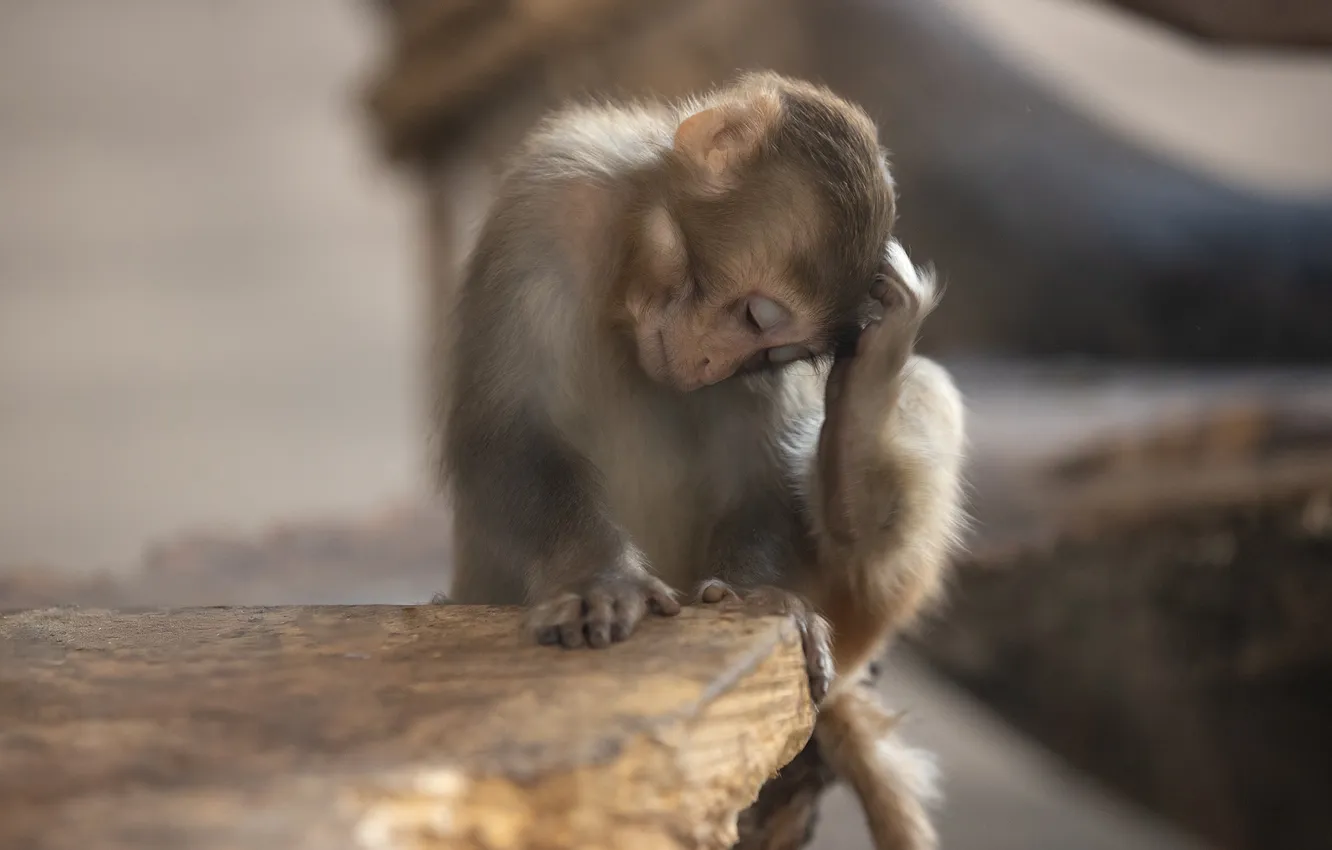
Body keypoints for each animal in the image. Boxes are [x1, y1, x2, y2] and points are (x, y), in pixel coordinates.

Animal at [438, 71, 967, 850]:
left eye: (771, 353)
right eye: (755, 315)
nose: (715, 364)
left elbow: (757, 480)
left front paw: (755, 595)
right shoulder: (550, 195)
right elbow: (508, 433)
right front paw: (598, 577)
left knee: (921, 396)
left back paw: (858, 440)